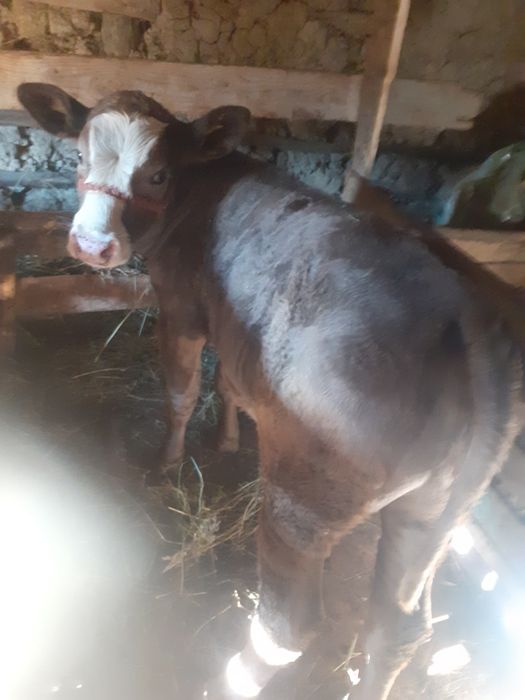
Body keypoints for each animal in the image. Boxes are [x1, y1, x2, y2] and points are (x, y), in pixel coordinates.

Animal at [18, 83, 522, 700]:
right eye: (80, 156)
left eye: (157, 174)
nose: (92, 245)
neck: (203, 186)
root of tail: (466, 312)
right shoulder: (233, 327)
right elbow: (228, 383)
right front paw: (228, 440)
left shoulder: (181, 308)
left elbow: (182, 392)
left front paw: (168, 461)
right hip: (434, 511)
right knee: (398, 628)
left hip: (301, 503)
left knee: (287, 628)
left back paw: (227, 679)